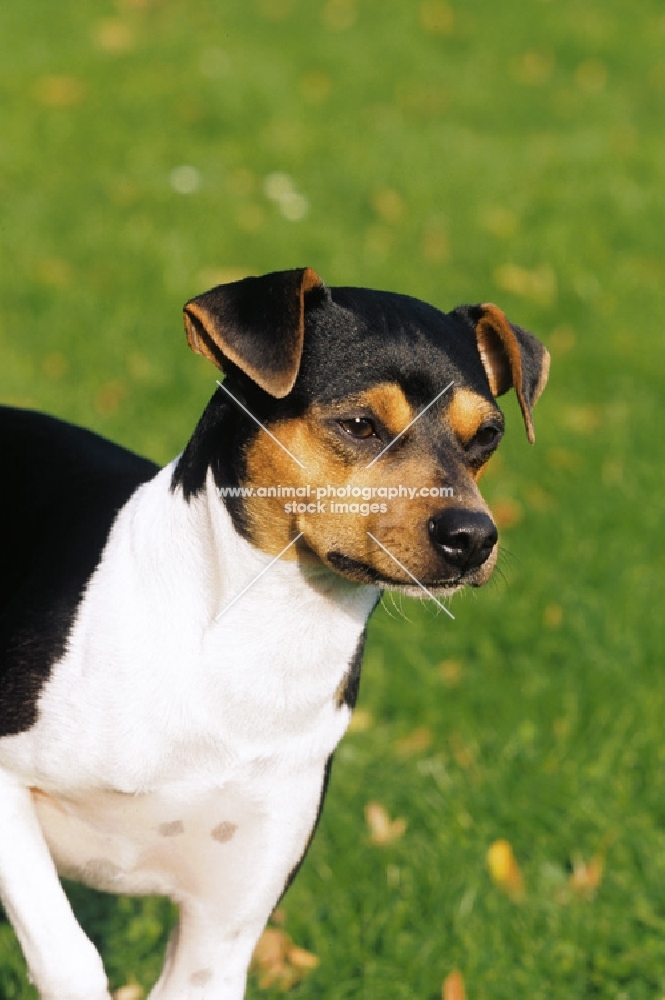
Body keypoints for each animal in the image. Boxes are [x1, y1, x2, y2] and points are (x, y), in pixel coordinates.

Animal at [0, 268, 548, 1000]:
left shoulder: (222, 929)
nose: (472, 537)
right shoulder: (6, 794)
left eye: (486, 436)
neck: (260, 641)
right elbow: (72, 958)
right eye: (359, 425)